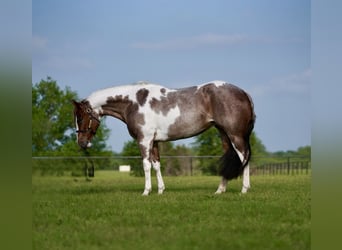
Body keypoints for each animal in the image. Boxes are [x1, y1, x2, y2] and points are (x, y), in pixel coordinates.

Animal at [73, 81, 255, 194]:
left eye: (80, 118)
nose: (81, 143)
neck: (133, 103)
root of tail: (243, 93)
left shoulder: (144, 140)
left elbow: (146, 165)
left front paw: (146, 191)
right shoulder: (154, 142)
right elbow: (156, 165)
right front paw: (160, 190)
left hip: (235, 135)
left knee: (244, 158)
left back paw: (244, 189)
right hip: (224, 135)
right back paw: (220, 190)